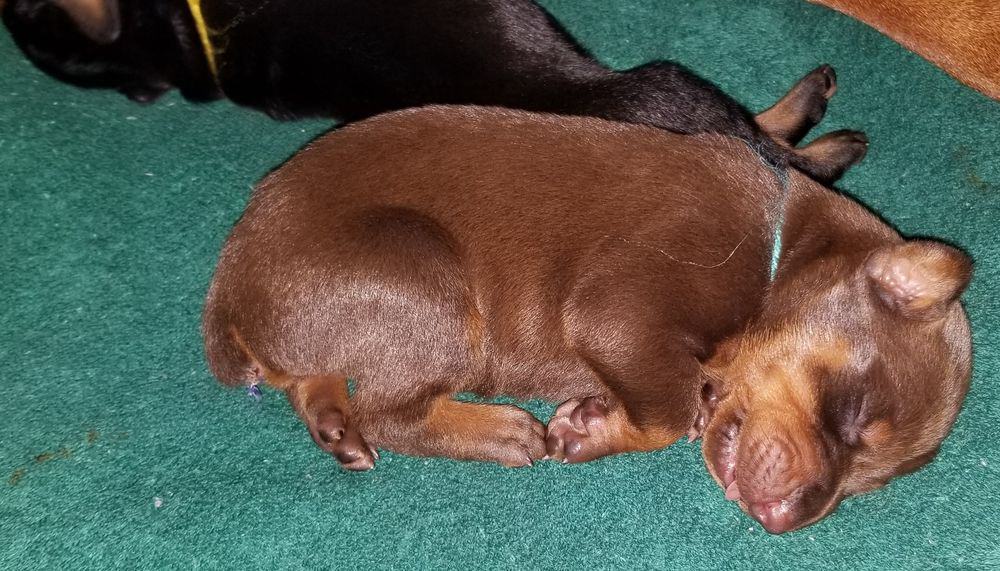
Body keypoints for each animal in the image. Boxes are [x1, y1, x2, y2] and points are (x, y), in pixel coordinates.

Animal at [201, 101, 968, 532]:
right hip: (426, 277)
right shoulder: (621, 303)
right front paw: (592, 425)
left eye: (869, 483)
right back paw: (499, 431)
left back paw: (335, 426)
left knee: (314, 375)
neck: (778, 254)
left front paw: (597, 422)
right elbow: (669, 408)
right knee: (391, 410)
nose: (784, 522)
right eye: (853, 414)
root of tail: (230, 280)